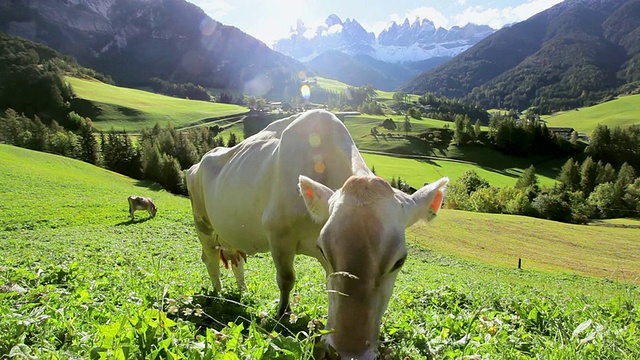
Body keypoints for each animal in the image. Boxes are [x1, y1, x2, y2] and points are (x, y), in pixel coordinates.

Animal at [185, 109, 444, 360]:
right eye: (325, 252)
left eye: (399, 262)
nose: (347, 354)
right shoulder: (279, 234)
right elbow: (286, 279)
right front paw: (282, 315)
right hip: (202, 222)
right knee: (210, 258)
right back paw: (219, 295)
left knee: (236, 261)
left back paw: (242, 292)